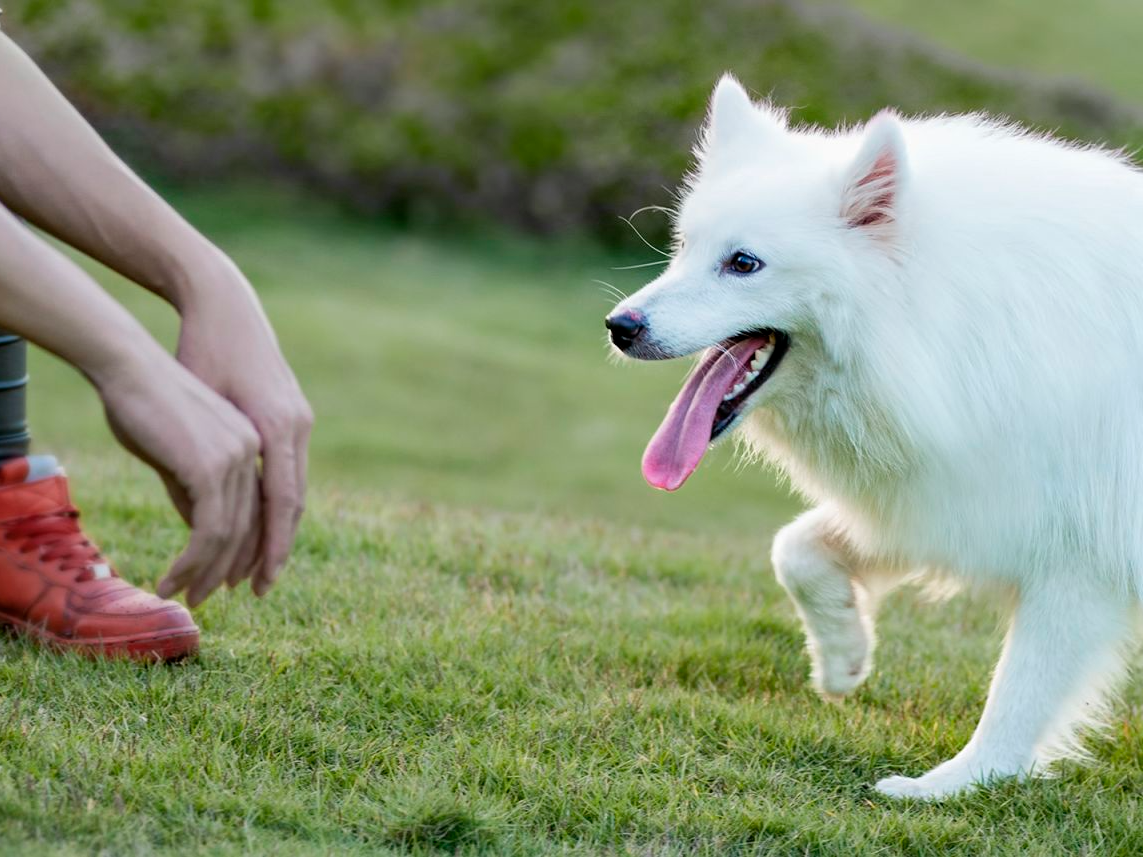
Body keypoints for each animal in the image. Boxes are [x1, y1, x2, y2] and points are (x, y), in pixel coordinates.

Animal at [603, 77, 1138, 804]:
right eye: (684, 246)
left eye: (743, 263)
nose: (619, 326)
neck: (946, 317)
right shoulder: (948, 497)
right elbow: (795, 548)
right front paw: (842, 657)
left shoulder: (1079, 564)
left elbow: (1017, 697)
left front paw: (952, 786)